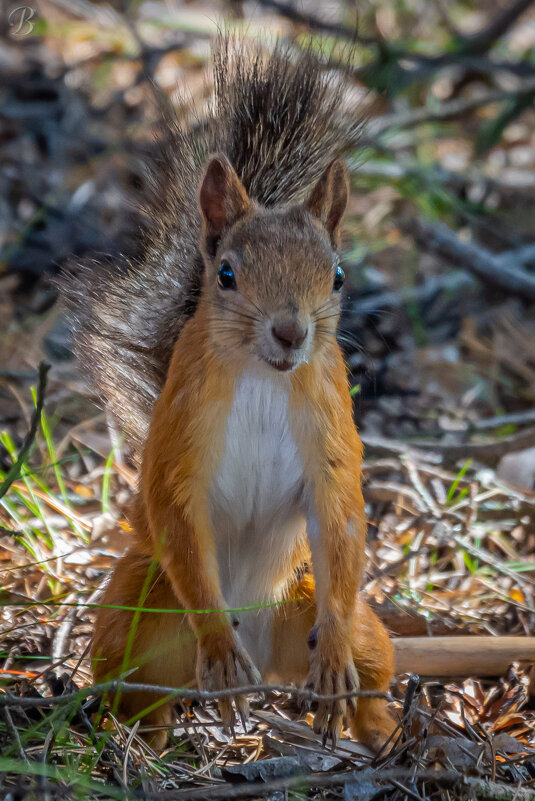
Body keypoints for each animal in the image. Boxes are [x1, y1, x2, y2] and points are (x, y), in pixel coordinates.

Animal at [63, 37, 398, 752]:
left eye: (336, 275)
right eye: (225, 275)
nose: (291, 332)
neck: (266, 379)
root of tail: (265, 661)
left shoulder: (330, 433)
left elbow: (339, 515)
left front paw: (333, 661)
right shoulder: (183, 442)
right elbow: (177, 509)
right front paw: (217, 645)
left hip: (327, 610)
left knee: (366, 661)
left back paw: (381, 727)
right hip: (139, 616)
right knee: (141, 694)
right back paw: (150, 734)